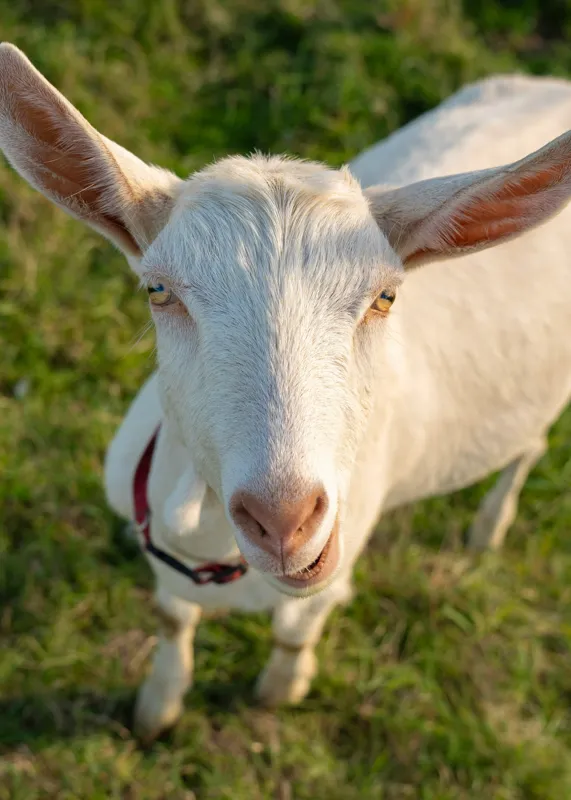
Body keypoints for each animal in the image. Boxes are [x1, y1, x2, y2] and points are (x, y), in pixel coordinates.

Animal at [1, 44, 571, 743]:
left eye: (386, 297)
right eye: (158, 290)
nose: (283, 519)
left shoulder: (332, 572)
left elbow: (296, 631)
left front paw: (281, 690)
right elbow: (171, 619)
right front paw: (157, 708)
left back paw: (489, 527)